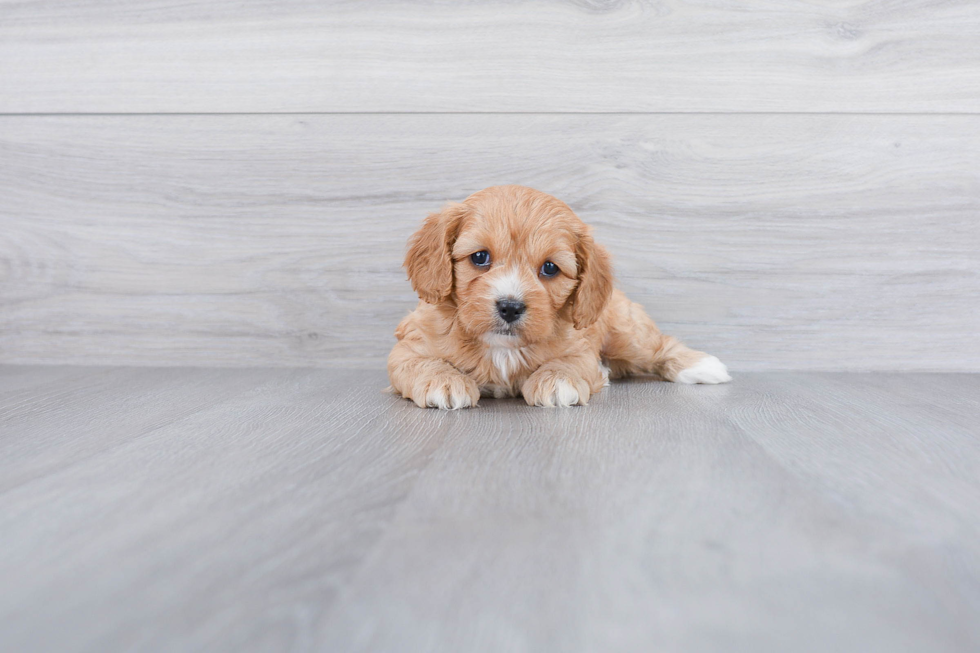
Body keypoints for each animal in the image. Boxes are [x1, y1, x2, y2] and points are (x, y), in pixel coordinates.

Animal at [386, 185, 732, 408]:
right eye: (480, 257)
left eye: (550, 268)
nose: (510, 307)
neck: (501, 348)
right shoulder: (408, 347)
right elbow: (421, 362)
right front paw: (444, 382)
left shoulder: (580, 347)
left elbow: (569, 363)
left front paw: (557, 381)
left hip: (626, 333)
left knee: (659, 345)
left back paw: (701, 365)